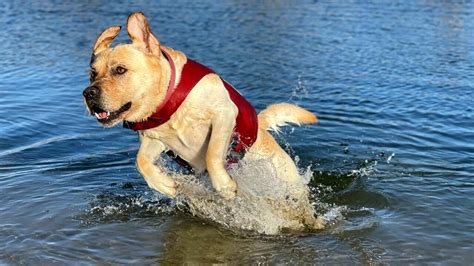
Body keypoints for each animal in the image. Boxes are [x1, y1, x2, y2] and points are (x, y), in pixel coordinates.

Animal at [83, 12, 316, 200]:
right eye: (93, 73)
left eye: (120, 70)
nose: (88, 93)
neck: (168, 101)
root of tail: (261, 124)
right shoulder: (155, 140)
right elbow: (140, 161)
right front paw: (164, 184)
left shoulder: (224, 114)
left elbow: (212, 153)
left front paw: (223, 185)